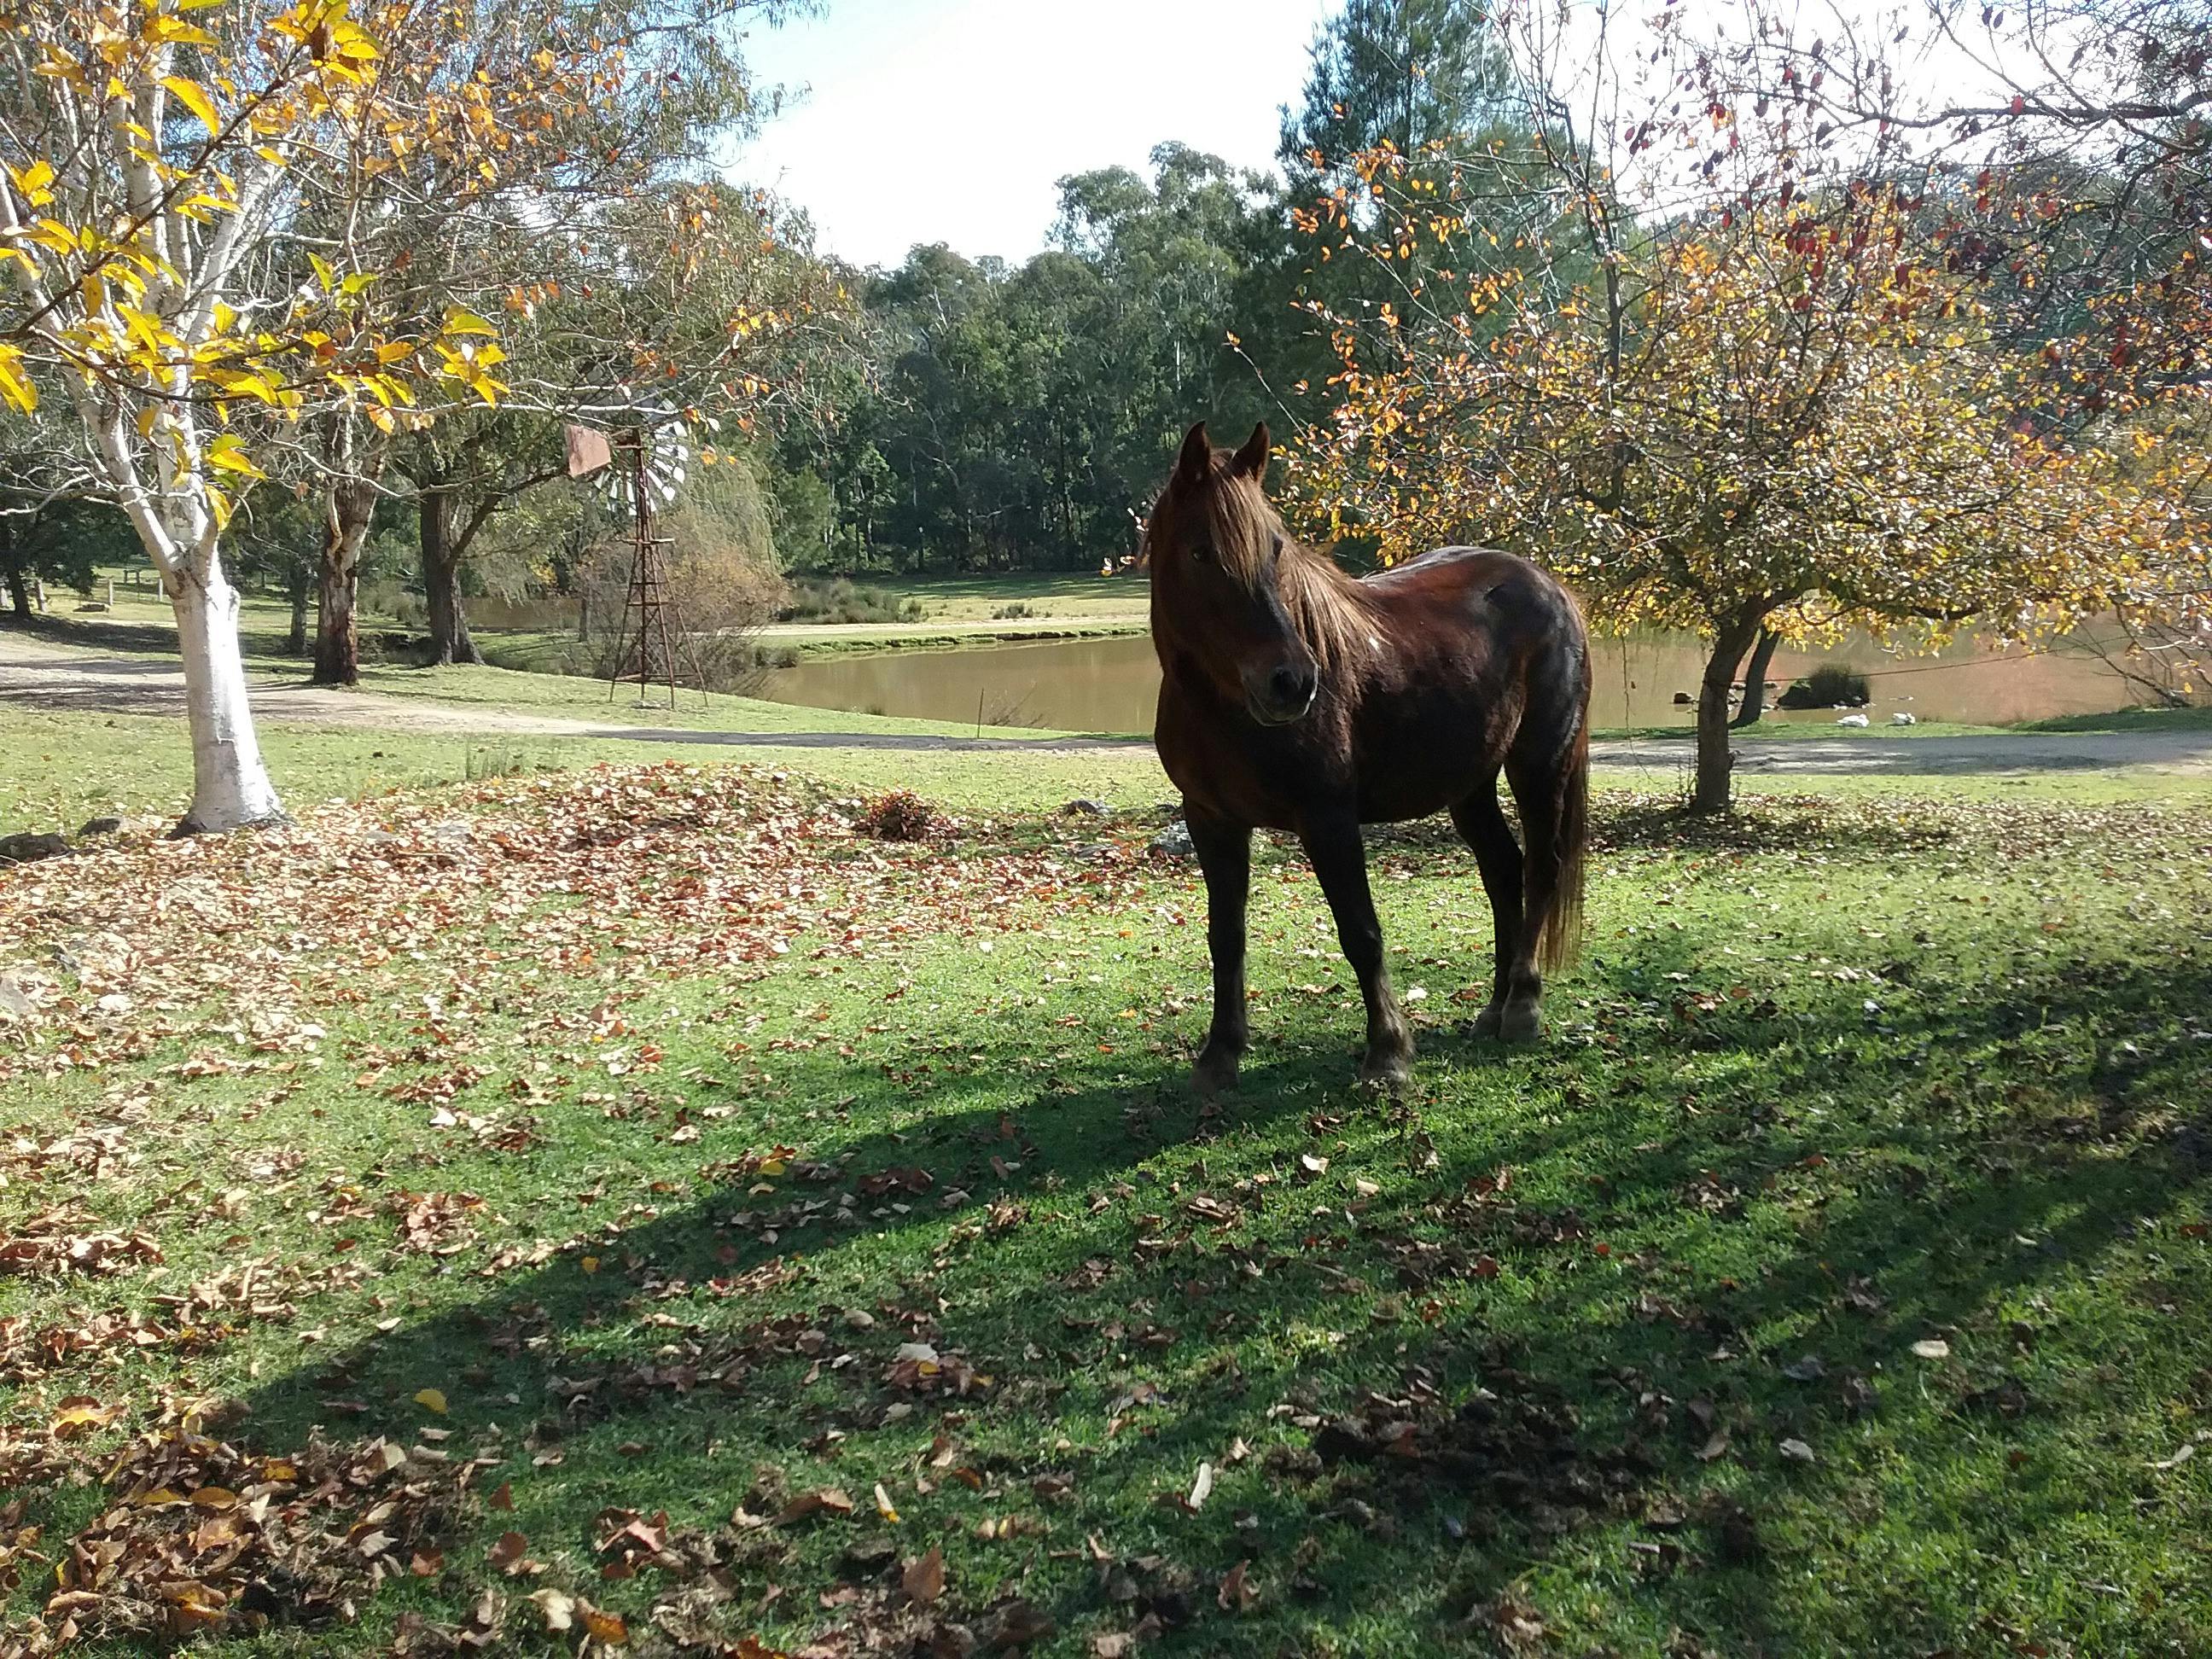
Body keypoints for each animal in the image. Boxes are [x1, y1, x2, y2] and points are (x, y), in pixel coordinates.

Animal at [1145, 421, 1592, 1093]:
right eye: (1200, 552)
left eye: (1274, 548)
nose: (1292, 682)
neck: (1221, 710)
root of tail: (1552, 588)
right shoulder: (1210, 820)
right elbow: (1226, 936)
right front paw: (1220, 1053)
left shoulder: (1327, 818)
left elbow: (1360, 931)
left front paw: (1387, 1053)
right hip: (1470, 785)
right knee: (1502, 870)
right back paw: (1492, 1008)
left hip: (1539, 767)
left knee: (1541, 868)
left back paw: (1522, 1005)